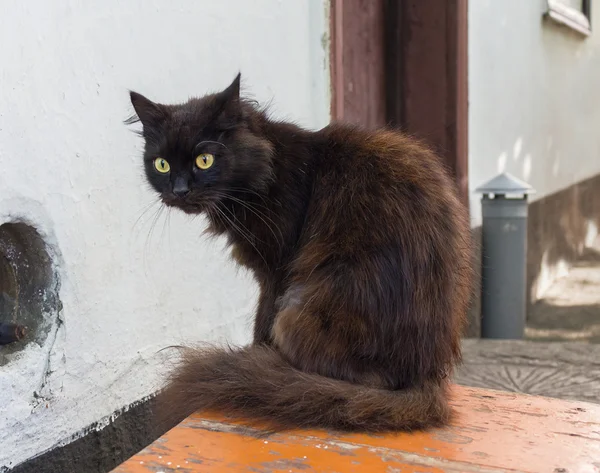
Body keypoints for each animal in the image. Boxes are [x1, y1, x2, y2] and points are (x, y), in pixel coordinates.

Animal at [127, 74, 474, 432]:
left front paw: (255, 354)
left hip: (300, 303)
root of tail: (427, 374)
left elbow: (262, 322)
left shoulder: (276, 273)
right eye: (162, 164)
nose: (179, 191)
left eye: (204, 160)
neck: (268, 170)